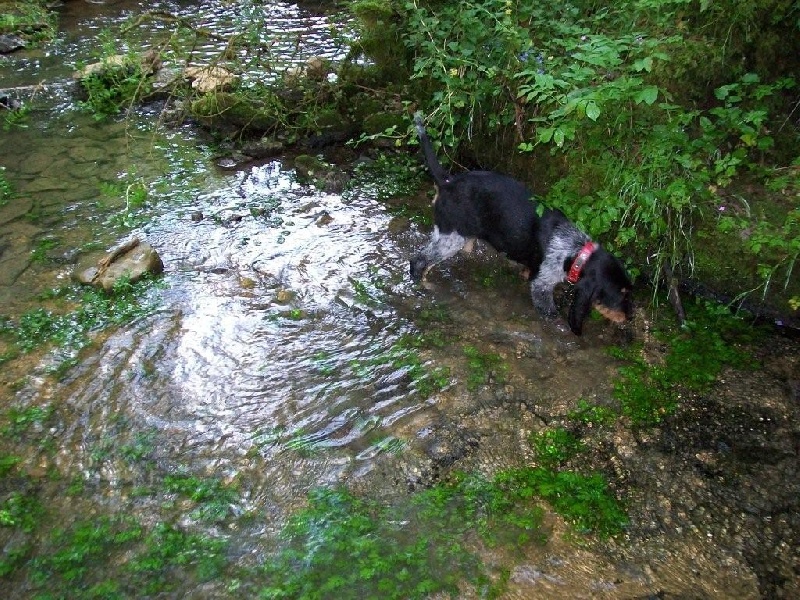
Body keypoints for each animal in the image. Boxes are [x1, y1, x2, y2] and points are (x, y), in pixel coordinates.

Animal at [412, 113, 632, 338]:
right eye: (620, 294)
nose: (629, 317)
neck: (575, 252)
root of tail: (447, 182)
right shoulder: (541, 284)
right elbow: (551, 313)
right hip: (449, 238)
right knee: (419, 262)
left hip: (464, 239)